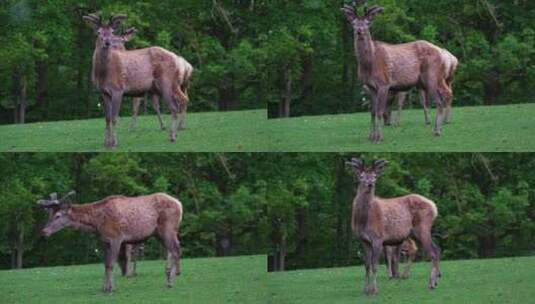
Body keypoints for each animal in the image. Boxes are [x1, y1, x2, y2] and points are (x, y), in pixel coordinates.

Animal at [37, 191, 184, 294]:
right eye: (49, 215)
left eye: (58, 216)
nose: (43, 231)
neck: (96, 224)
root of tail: (179, 204)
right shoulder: (105, 241)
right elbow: (105, 264)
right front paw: (104, 288)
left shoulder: (116, 238)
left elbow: (111, 264)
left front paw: (111, 289)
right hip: (159, 233)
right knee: (174, 249)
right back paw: (170, 278)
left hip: (168, 229)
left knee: (175, 250)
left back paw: (170, 282)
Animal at [82, 13, 194, 149]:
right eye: (98, 32)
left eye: (112, 31)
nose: (107, 42)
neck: (103, 74)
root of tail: (177, 59)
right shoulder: (103, 92)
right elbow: (107, 118)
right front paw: (106, 143)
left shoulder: (118, 89)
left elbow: (114, 117)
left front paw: (114, 143)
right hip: (172, 85)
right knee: (181, 100)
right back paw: (175, 133)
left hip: (166, 83)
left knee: (174, 106)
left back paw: (173, 136)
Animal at [344, 1, 456, 142]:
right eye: (353, 23)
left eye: (367, 23)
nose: (359, 31)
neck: (369, 64)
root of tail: (442, 53)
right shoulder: (370, 86)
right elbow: (373, 112)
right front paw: (371, 136)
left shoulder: (384, 83)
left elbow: (380, 111)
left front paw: (379, 137)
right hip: (435, 79)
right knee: (445, 94)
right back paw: (439, 128)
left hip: (432, 76)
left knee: (439, 100)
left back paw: (437, 130)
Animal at [348, 158, 440, 296]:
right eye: (361, 176)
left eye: (375, 176)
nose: (370, 184)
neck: (363, 221)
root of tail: (434, 206)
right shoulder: (363, 240)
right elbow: (367, 265)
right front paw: (365, 290)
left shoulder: (378, 238)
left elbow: (375, 265)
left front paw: (374, 290)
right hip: (415, 233)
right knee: (436, 249)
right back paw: (435, 280)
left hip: (422, 227)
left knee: (433, 252)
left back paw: (431, 284)